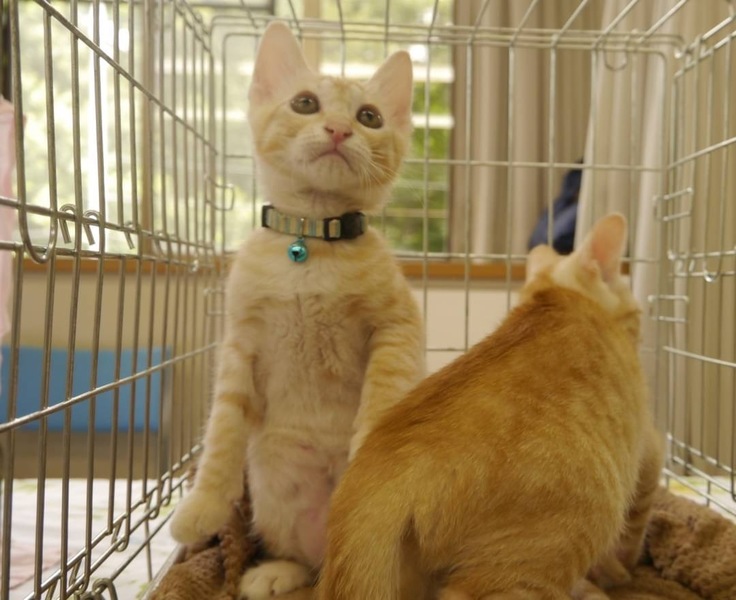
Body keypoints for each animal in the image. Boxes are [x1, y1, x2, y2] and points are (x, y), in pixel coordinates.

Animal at [168, 21, 425, 600]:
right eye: (305, 103)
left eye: (369, 117)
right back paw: (277, 571)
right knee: (314, 562)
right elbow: (222, 430)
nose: (338, 130)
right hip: (274, 498)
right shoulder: (239, 340)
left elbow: (383, 395)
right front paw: (202, 506)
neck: (311, 244)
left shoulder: (397, 327)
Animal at [317, 213, 663, 600]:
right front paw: (621, 572)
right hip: (537, 559)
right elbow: (636, 526)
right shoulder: (649, 451)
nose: (642, 322)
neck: (556, 296)